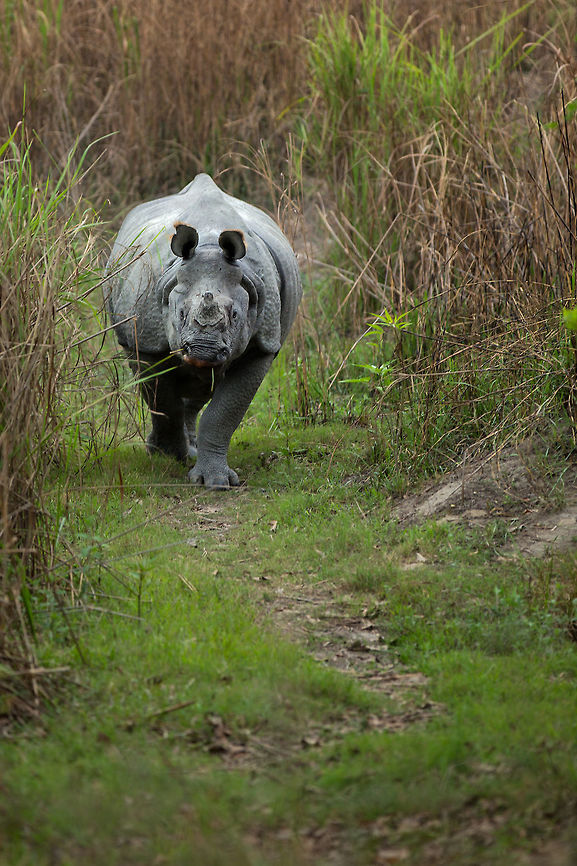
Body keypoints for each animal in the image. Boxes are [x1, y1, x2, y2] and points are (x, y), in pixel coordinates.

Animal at [105, 174, 302, 488]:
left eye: (235, 316)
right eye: (181, 314)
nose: (203, 350)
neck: (209, 246)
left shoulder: (264, 344)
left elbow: (223, 411)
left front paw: (216, 482)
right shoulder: (144, 340)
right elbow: (162, 399)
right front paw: (169, 457)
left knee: (201, 388)